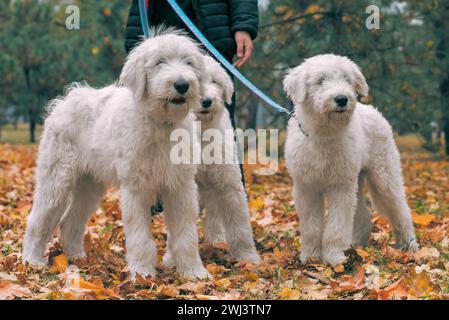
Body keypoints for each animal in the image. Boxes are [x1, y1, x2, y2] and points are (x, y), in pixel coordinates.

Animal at [24, 31, 212, 278]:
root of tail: (65, 99)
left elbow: (186, 234)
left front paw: (194, 273)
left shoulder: (181, 186)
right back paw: (31, 261)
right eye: (159, 62)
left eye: (188, 62)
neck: (161, 124)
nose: (182, 84)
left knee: (70, 222)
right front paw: (142, 274)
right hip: (56, 179)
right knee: (37, 220)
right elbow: (140, 236)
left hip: (90, 186)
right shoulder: (136, 187)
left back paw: (77, 257)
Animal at [188, 55, 260, 264]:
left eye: (215, 81)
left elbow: (239, 222)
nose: (206, 101)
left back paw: (216, 240)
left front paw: (247, 257)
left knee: (214, 212)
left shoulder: (229, 183)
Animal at [284, 54, 416, 264]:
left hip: (384, 176)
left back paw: (410, 245)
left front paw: (334, 256)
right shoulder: (307, 187)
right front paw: (311, 256)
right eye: (320, 81)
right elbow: (311, 226)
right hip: (358, 178)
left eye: (346, 79)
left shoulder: (340, 186)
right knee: (362, 214)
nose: (342, 99)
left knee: (401, 210)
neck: (324, 135)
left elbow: (337, 225)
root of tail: (372, 109)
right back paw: (357, 245)